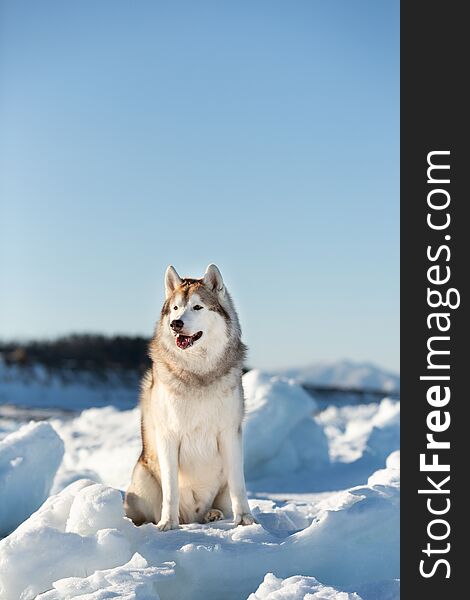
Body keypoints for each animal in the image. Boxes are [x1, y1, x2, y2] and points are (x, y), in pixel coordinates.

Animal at [125, 262, 255, 528]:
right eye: (175, 308)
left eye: (197, 307)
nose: (176, 323)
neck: (198, 372)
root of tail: (192, 516)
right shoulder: (168, 435)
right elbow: (171, 489)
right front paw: (167, 524)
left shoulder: (229, 433)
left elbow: (239, 486)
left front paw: (245, 519)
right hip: (142, 476)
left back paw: (212, 514)